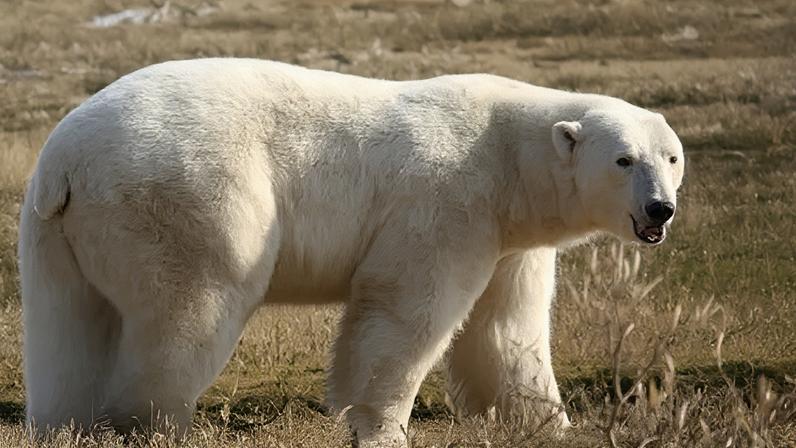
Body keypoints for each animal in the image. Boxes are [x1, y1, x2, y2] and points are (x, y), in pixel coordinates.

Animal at [18, 59, 684, 446]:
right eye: (624, 159)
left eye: (672, 157)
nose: (660, 210)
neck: (508, 156)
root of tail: (65, 162)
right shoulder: (447, 201)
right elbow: (406, 311)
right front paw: (380, 427)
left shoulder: (510, 238)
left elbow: (505, 329)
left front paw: (547, 423)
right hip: (186, 195)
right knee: (192, 306)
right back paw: (153, 423)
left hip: (57, 231)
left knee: (67, 326)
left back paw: (63, 422)